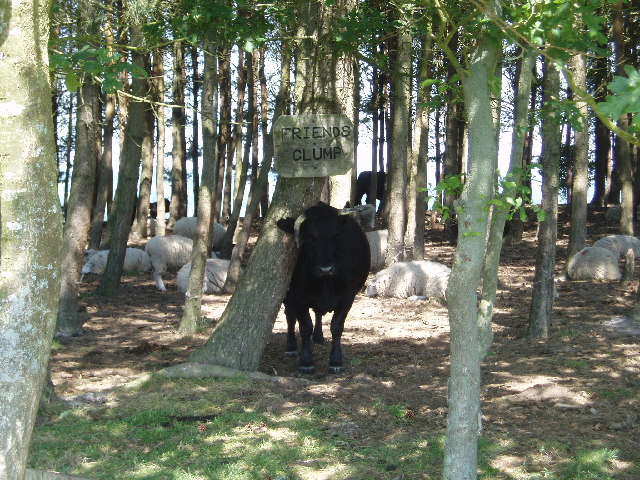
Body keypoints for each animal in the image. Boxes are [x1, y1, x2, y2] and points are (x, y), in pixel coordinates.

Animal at [278, 201, 372, 374]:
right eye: (310, 237)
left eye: (336, 235)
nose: (326, 269)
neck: (325, 283)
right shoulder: (298, 296)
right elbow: (304, 326)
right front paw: (306, 361)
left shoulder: (347, 297)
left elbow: (336, 327)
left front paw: (336, 361)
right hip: (288, 295)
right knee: (290, 316)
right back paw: (291, 346)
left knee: (317, 313)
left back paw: (318, 337)